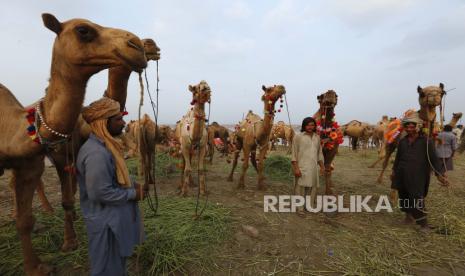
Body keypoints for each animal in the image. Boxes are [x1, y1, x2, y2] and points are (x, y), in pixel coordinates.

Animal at [0, 14, 147, 274]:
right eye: (83, 30)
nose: (137, 45)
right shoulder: (57, 155)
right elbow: (66, 200)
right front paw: (69, 243)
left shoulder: (33, 162)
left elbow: (28, 219)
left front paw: (36, 267)